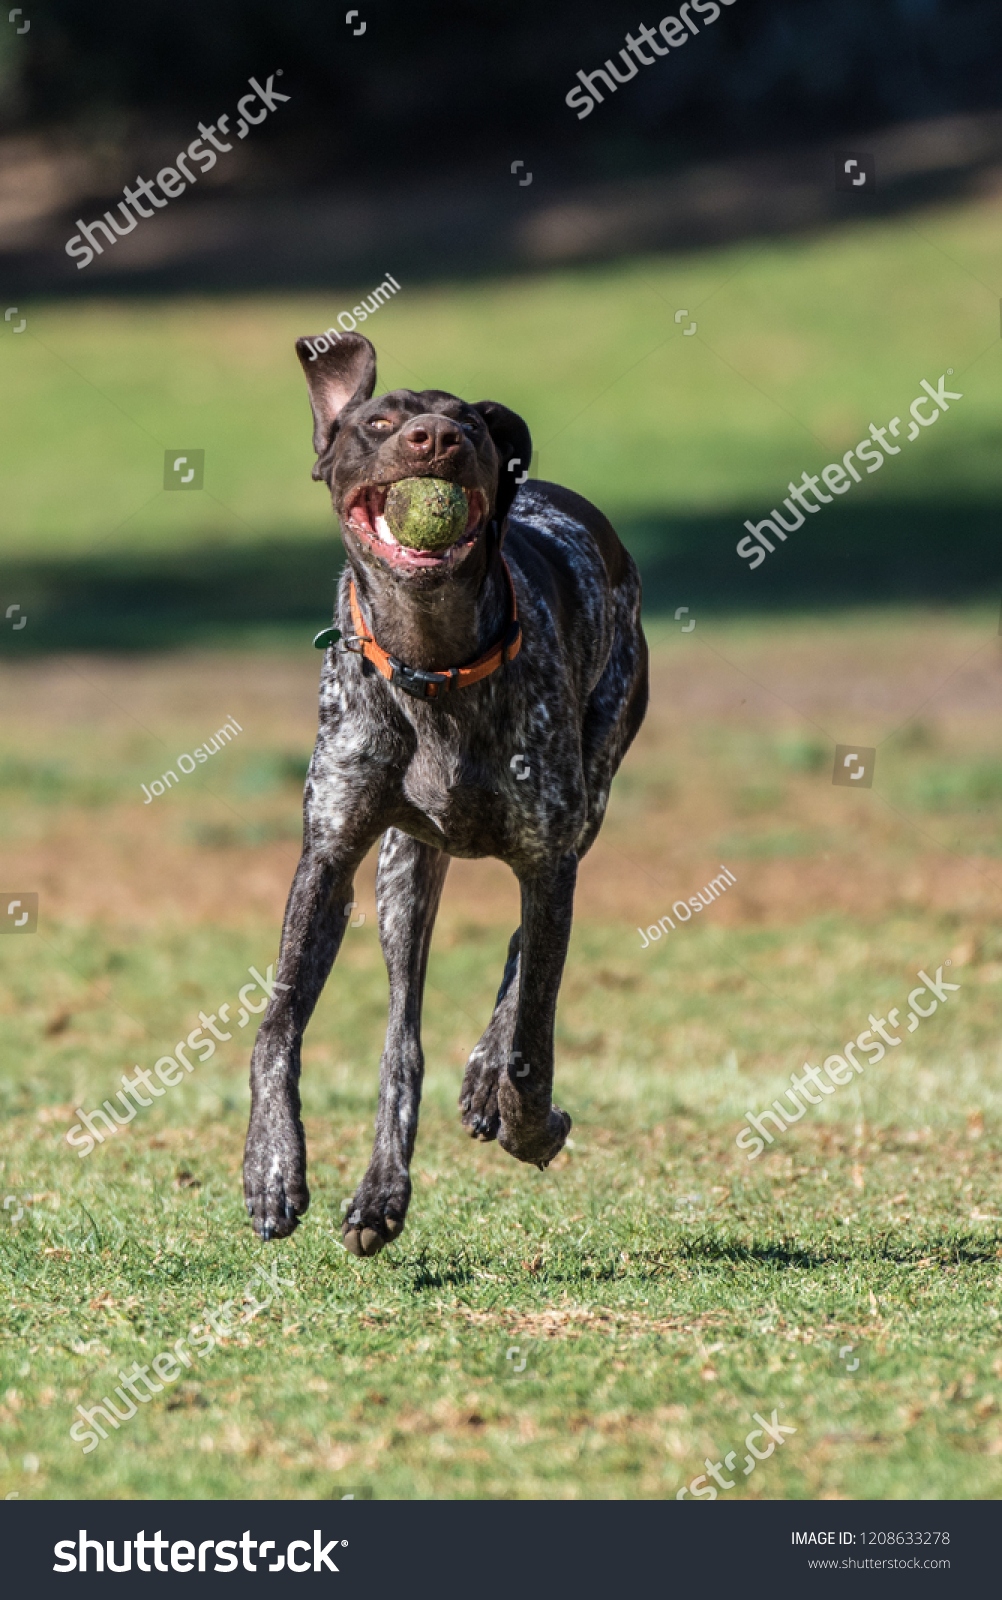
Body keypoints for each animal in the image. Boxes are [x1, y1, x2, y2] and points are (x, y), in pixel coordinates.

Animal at [243, 337, 646, 1254]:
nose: (434, 440)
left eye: (469, 424)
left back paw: (482, 1086)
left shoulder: (548, 857)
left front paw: (528, 1119)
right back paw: (381, 1191)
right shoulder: (330, 856)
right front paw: (272, 1165)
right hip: (401, 876)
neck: (432, 662)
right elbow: (277, 1026)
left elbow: (532, 1034)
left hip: (590, 801)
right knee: (403, 1039)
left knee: (521, 963)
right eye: (378, 423)